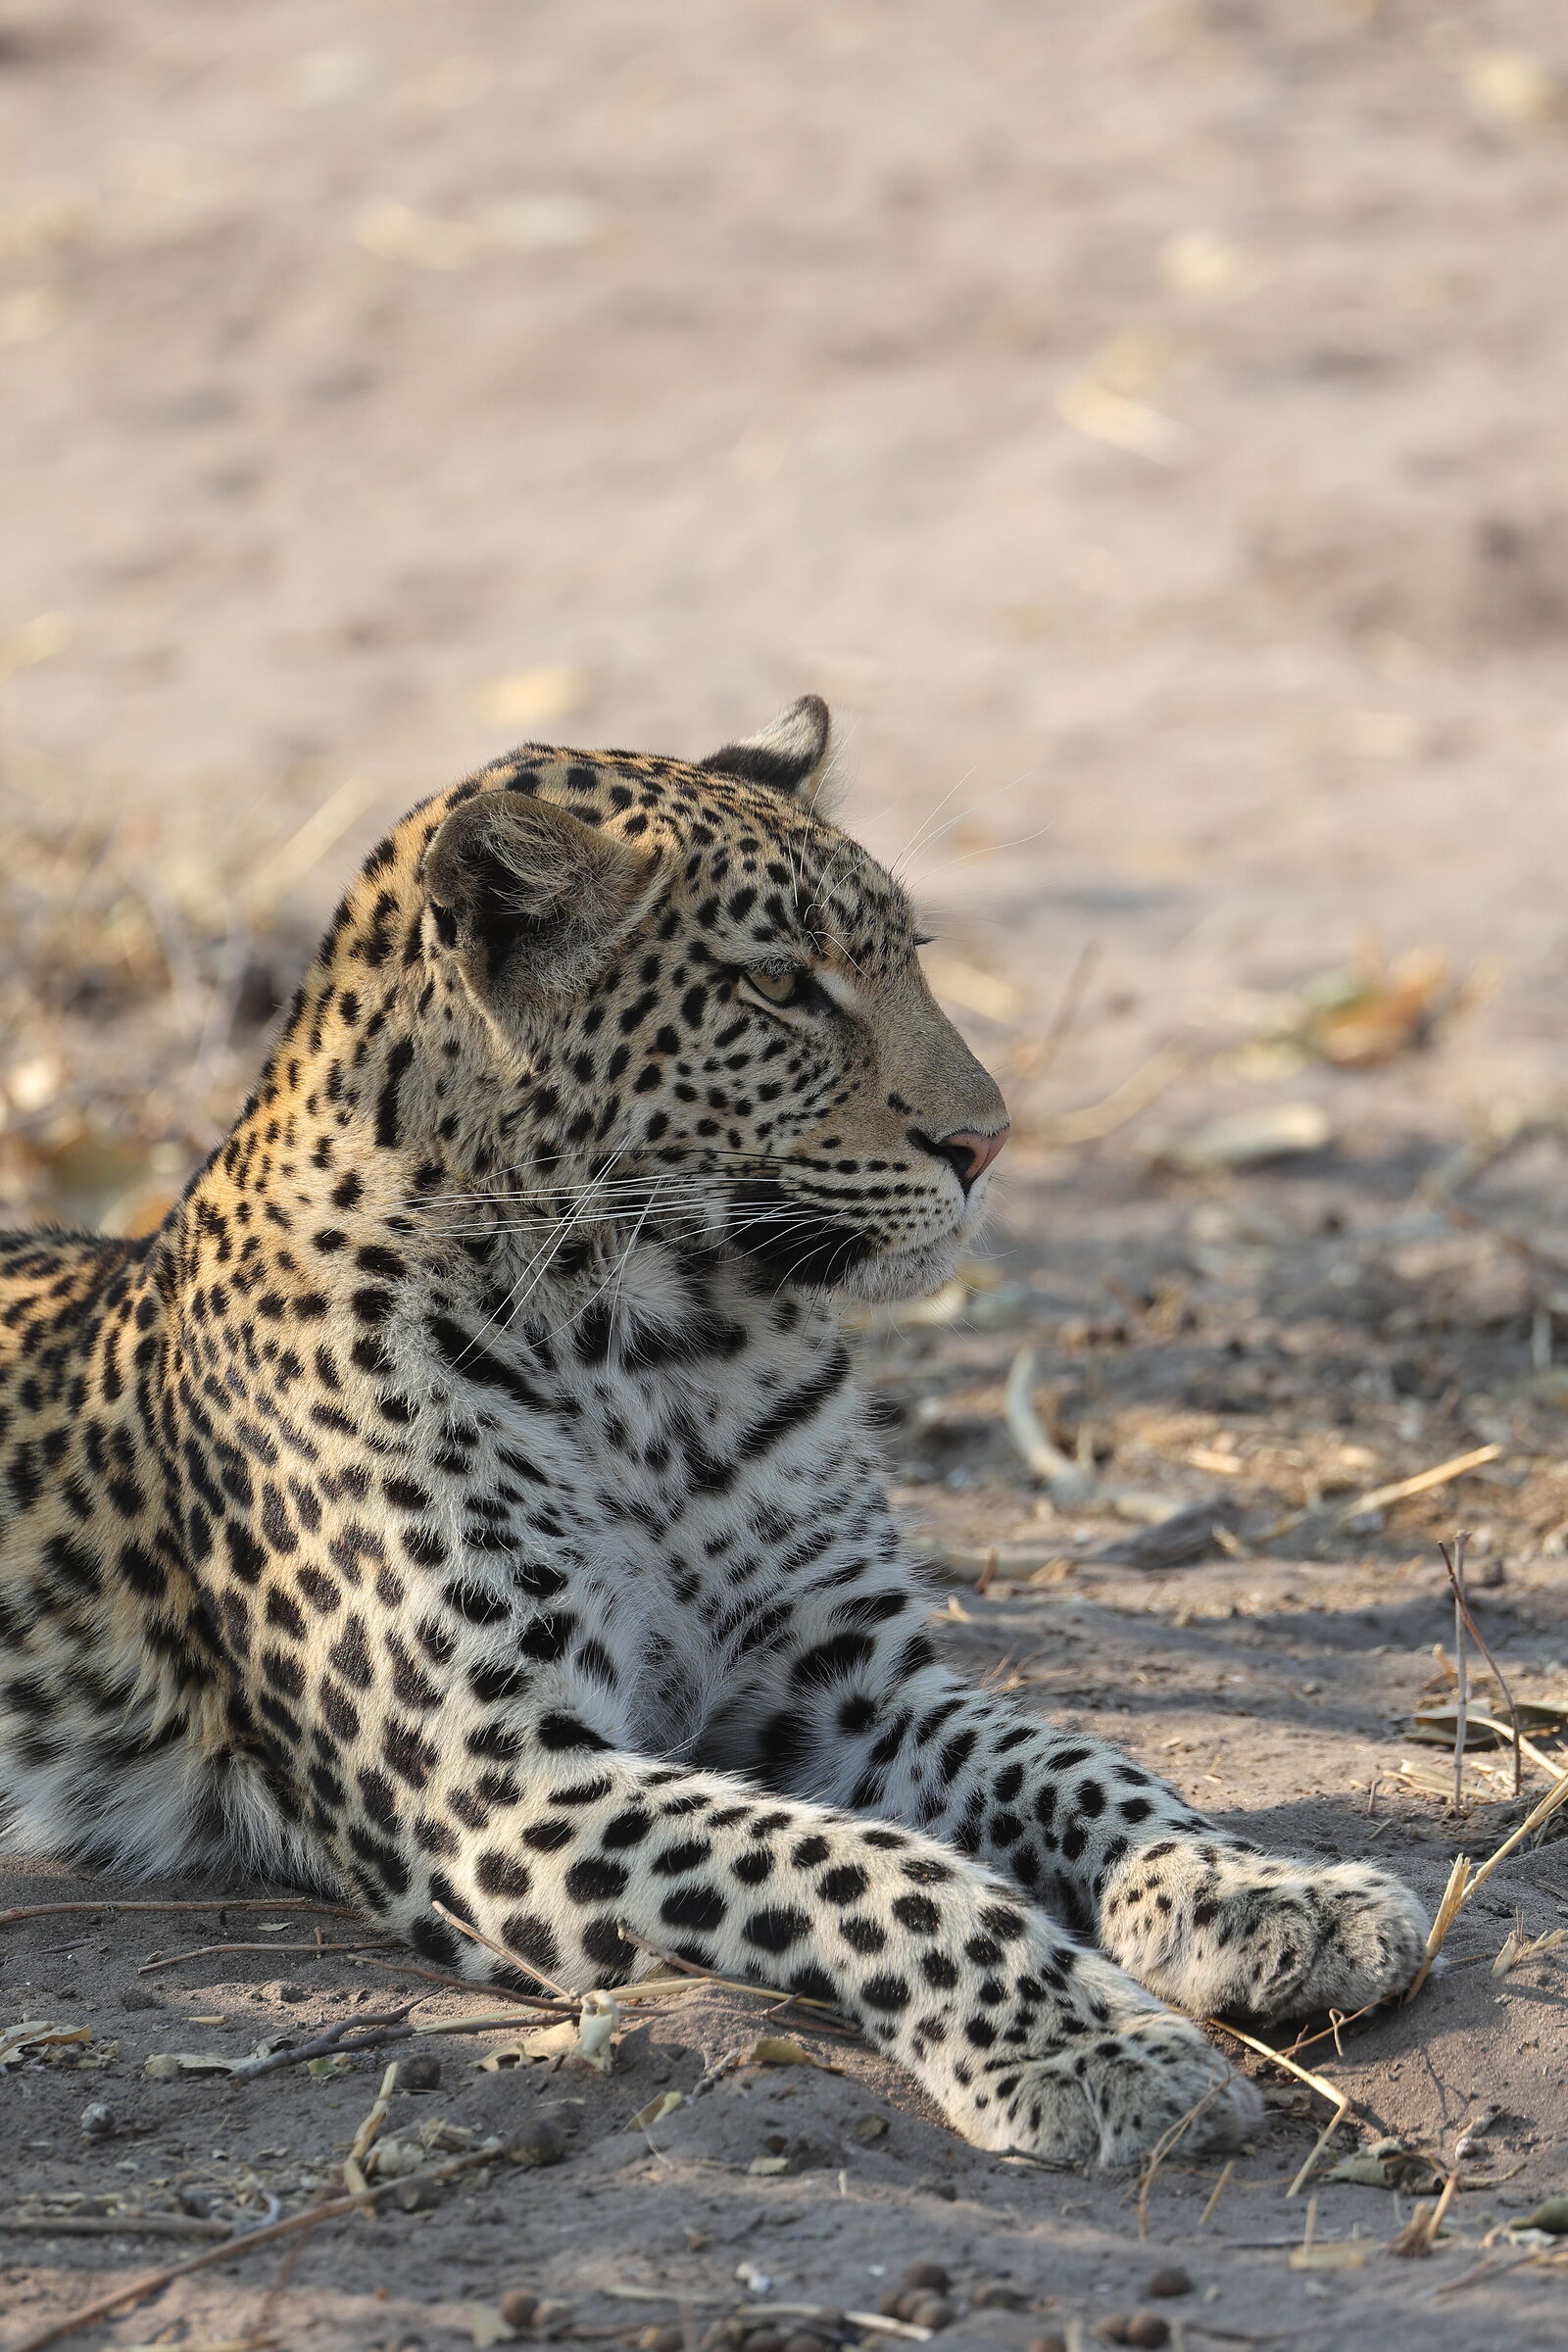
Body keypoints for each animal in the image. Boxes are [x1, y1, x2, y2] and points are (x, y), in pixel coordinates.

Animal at [0, 697, 1428, 2165]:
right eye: (780, 986)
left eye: (907, 960)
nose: (988, 1143)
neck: (660, 1345)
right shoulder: (501, 1776)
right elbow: (872, 1870)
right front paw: (1086, 2045)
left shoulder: (847, 1682)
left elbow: (1080, 1762)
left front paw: (1268, 1893)